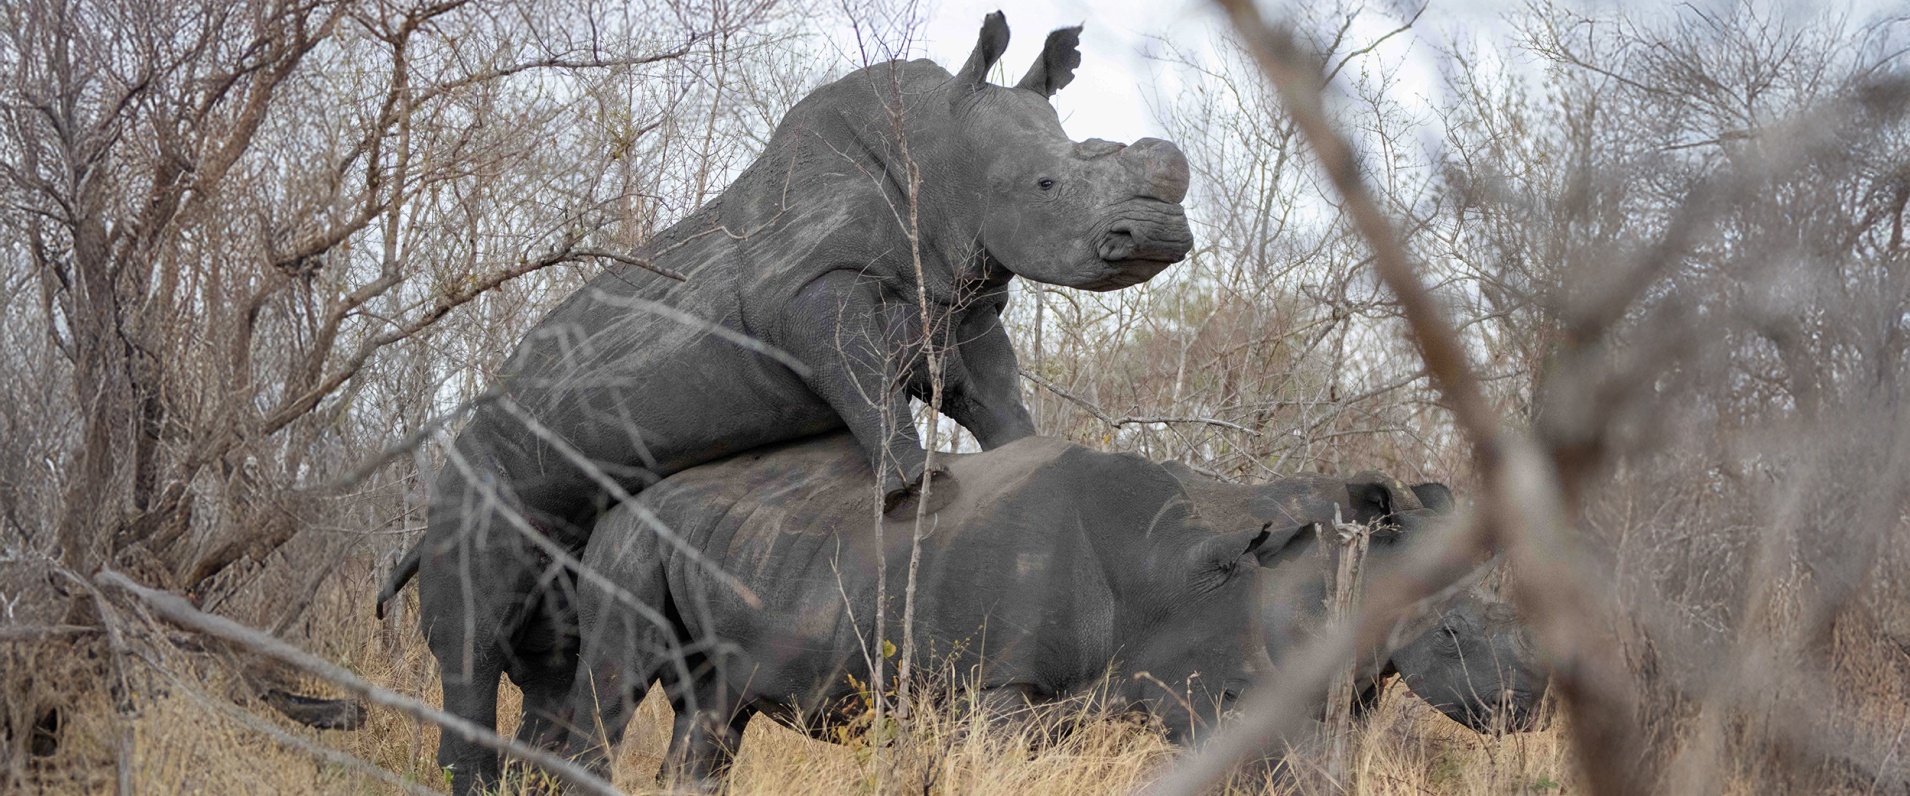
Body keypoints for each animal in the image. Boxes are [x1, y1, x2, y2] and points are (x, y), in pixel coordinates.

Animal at [372, 13, 1196, 790]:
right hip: (477, 478)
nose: (1159, 236)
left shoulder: (962, 313)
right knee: (475, 643)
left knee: (558, 656)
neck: (941, 151)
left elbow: (996, 398)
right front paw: (916, 489)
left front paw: (1018, 457)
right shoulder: (804, 289)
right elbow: (864, 384)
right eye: (1045, 185)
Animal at [560, 434, 1292, 787]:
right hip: (632, 535)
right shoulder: (999, 683)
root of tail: (623, 497)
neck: (1152, 578)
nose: (1279, 777)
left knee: (711, 716)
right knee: (611, 686)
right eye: (1233, 694)